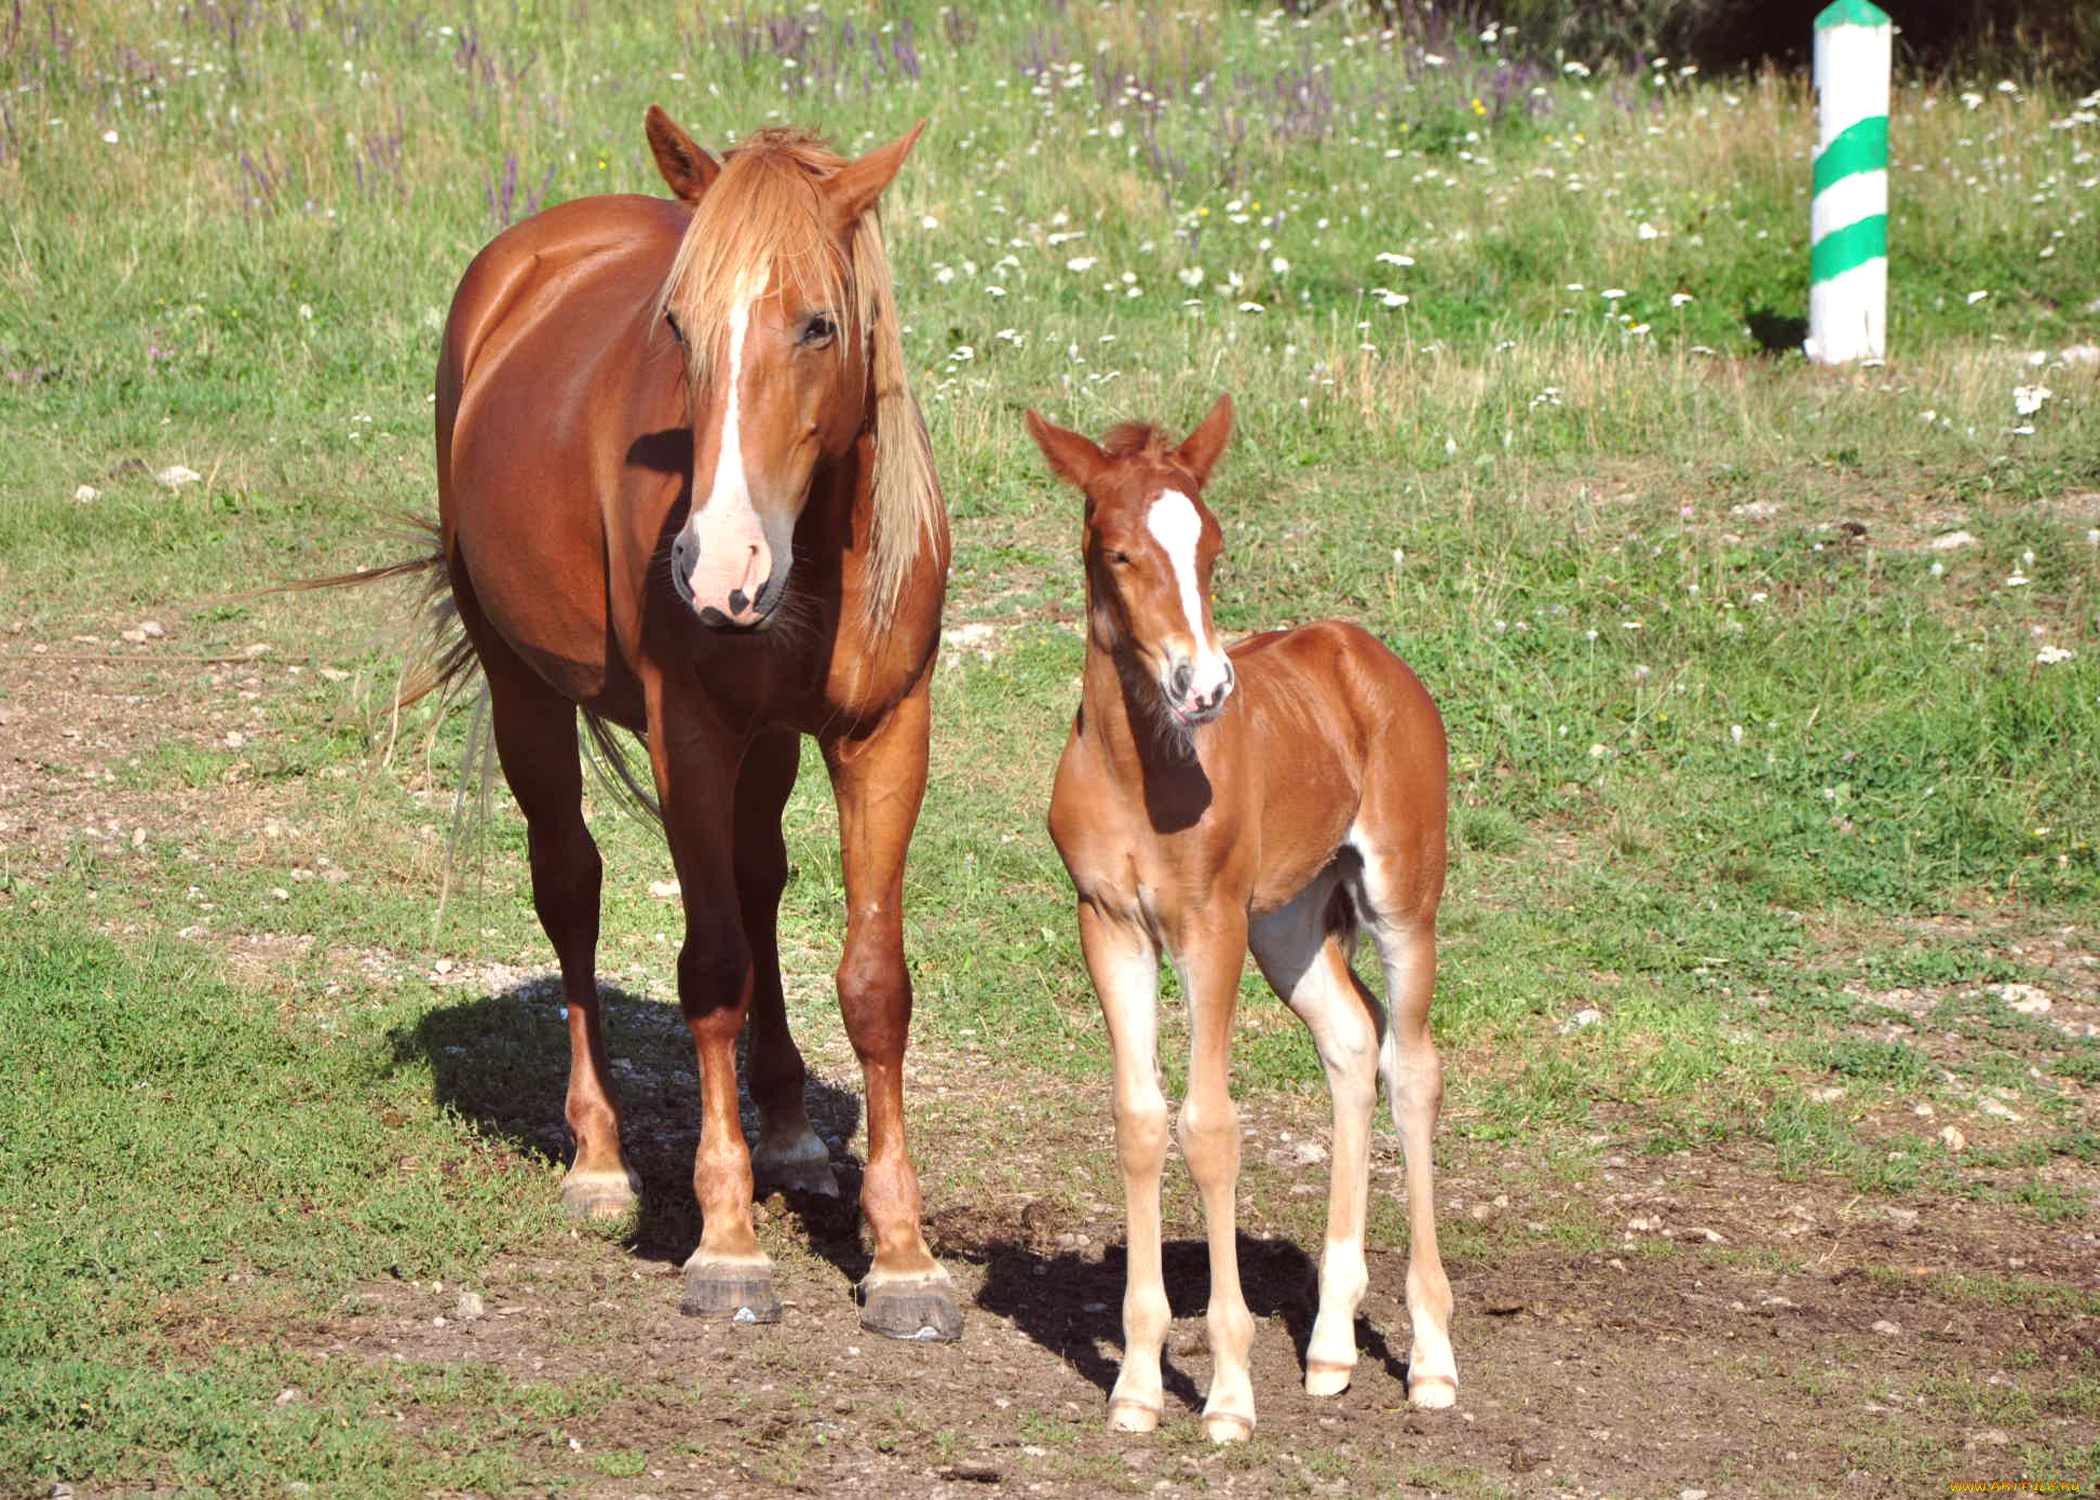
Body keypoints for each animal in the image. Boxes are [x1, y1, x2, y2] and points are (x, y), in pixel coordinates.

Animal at [1024, 397, 1453, 1436]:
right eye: (1119, 551)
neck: (1141, 772)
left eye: (1212, 547)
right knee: (1352, 1040)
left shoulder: (1206, 927)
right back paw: (1331, 1347)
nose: (1207, 686)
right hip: (1287, 925)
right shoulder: (1109, 925)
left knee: (1413, 1068)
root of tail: (1368, 656)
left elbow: (1211, 1127)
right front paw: (1138, 1387)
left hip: (1399, 900)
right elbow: (1140, 1120)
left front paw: (1226, 1395)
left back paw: (1431, 1359)